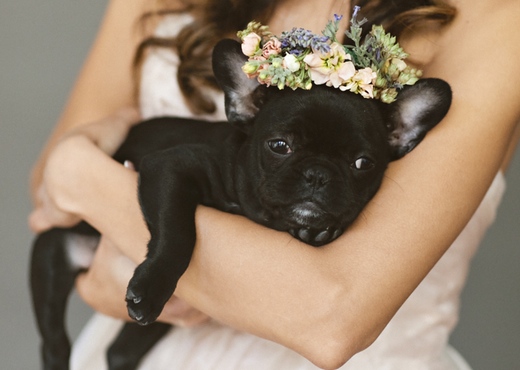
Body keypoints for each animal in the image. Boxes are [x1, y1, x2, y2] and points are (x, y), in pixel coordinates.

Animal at [29, 39, 450, 368]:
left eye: (363, 163)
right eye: (279, 145)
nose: (317, 174)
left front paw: (318, 231)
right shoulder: (169, 168)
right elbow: (177, 233)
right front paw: (151, 286)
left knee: (118, 352)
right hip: (52, 256)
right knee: (54, 340)